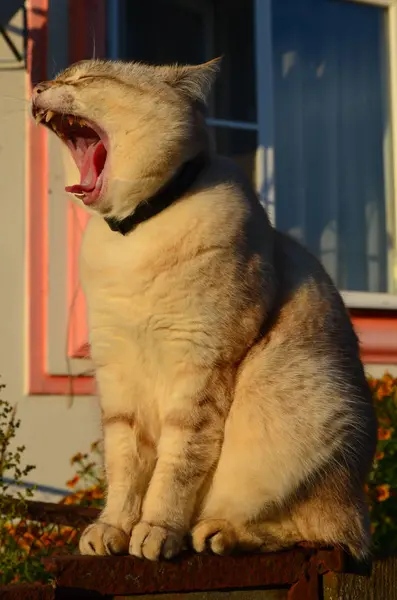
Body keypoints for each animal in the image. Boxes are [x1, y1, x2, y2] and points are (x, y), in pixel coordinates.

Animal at [31, 58, 374, 560]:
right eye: (60, 76)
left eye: (84, 80)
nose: (39, 85)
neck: (134, 233)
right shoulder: (117, 375)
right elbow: (124, 468)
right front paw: (113, 528)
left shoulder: (199, 365)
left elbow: (175, 469)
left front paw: (155, 532)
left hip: (307, 414)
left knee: (326, 535)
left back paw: (214, 533)